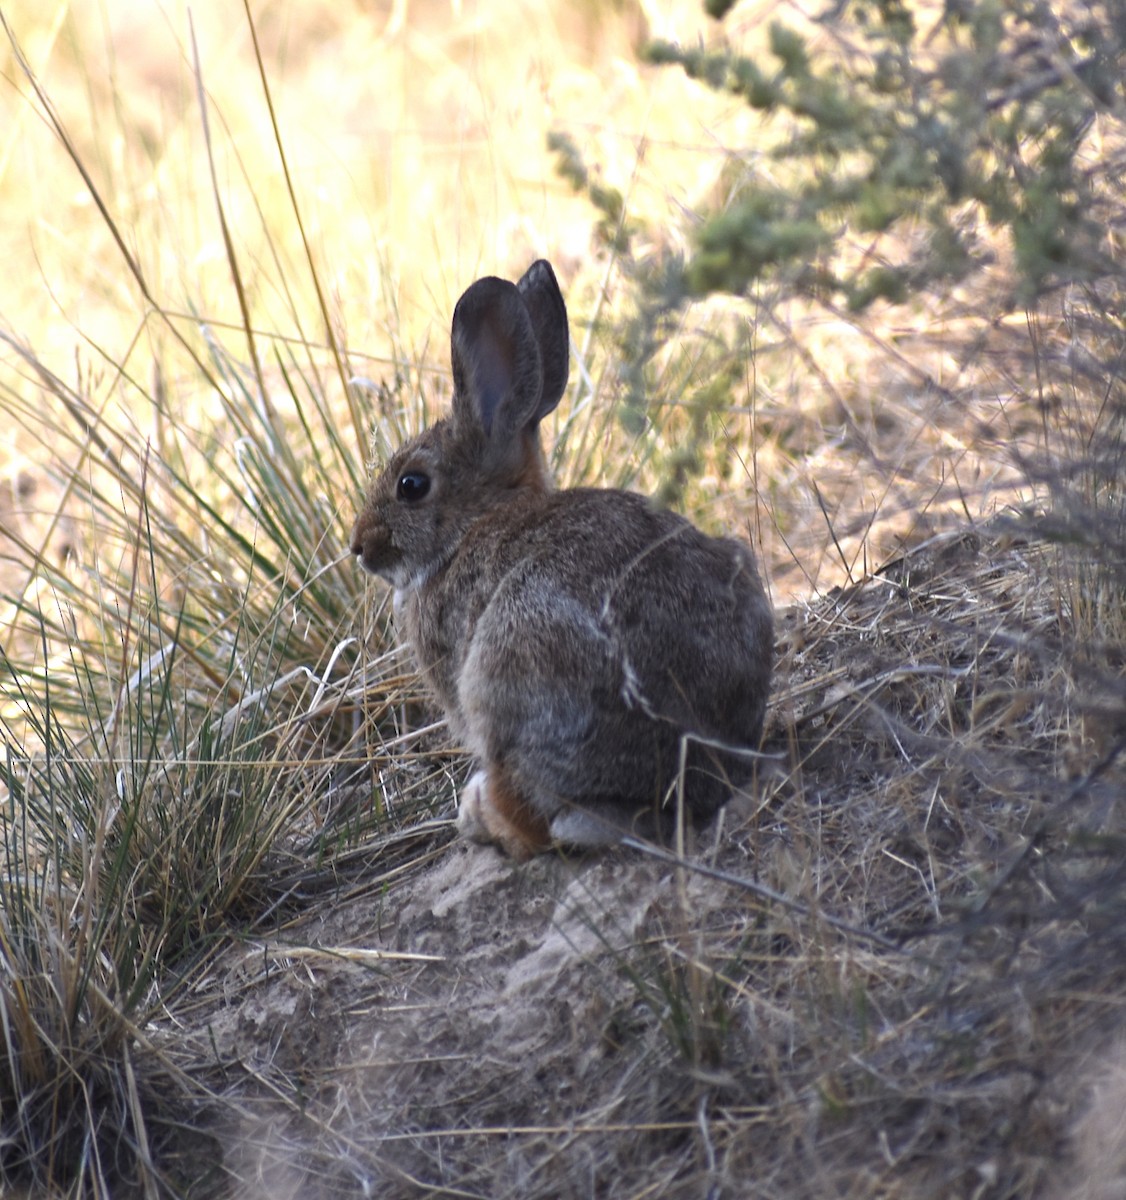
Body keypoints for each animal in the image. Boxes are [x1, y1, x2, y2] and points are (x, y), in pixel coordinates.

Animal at [350, 259, 773, 859]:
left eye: (412, 485)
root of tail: (686, 778)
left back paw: (479, 815)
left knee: (534, 821)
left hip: (506, 670)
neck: (471, 526)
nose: (359, 545)